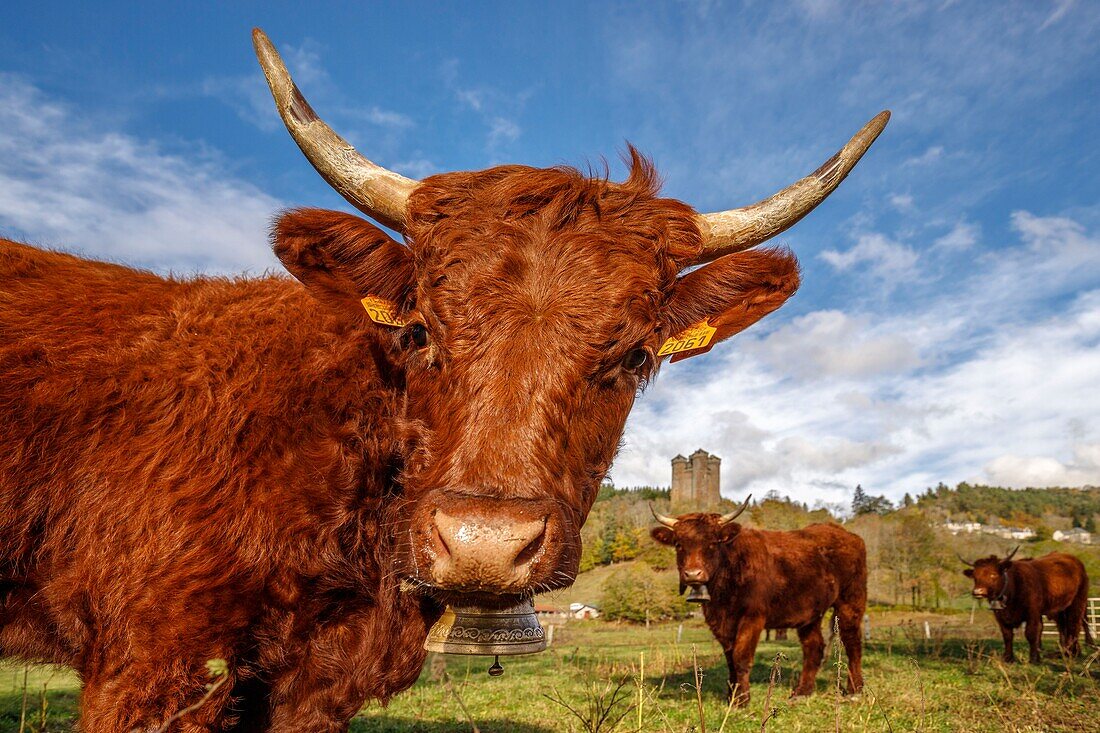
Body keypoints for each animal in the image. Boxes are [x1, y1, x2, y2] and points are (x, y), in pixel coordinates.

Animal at [646, 499, 862, 704]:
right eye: (678, 544)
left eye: (712, 543)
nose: (692, 574)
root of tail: (844, 533)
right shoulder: (721, 622)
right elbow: (730, 659)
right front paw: (732, 696)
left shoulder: (752, 616)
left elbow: (741, 657)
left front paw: (741, 700)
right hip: (810, 614)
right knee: (814, 647)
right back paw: (802, 692)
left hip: (850, 600)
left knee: (852, 641)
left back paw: (854, 690)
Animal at [959, 548, 1095, 660]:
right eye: (975, 576)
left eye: (993, 574)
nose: (978, 591)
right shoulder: (1000, 616)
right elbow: (1007, 635)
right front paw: (1008, 658)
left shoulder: (1033, 613)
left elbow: (1031, 633)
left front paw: (1034, 658)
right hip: (1060, 609)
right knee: (1063, 627)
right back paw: (1066, 651)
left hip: (1078, 602)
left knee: (1075, 624)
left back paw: (1073, 652)